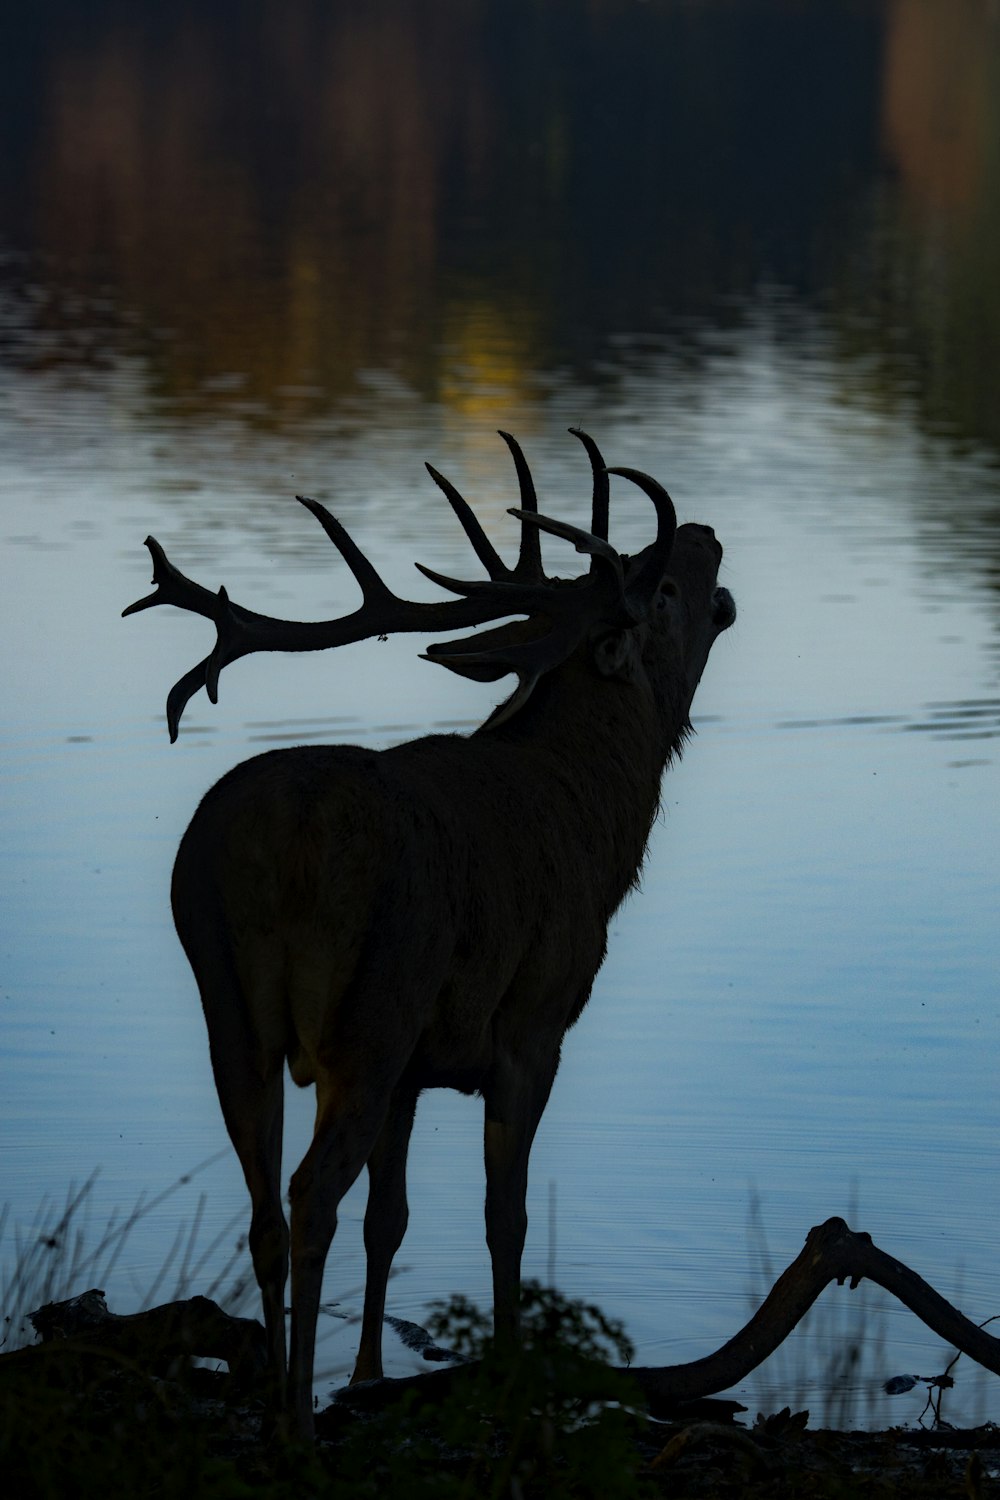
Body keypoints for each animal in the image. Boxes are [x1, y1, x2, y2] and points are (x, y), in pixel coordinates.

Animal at [122, 429, 734, 1434]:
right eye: (663, 591)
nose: (710, 538)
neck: (600, 821)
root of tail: (280, 838)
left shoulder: (416, 1067)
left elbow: (393, 1219)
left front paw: (370, 1373)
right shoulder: (534, 1022)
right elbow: (504, 1214)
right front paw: (514, 1373)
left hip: (229, 1005)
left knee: (266, 1204)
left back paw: (285, 1395)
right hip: (373, 1005)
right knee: (310, 1193)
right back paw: (297, 1418)